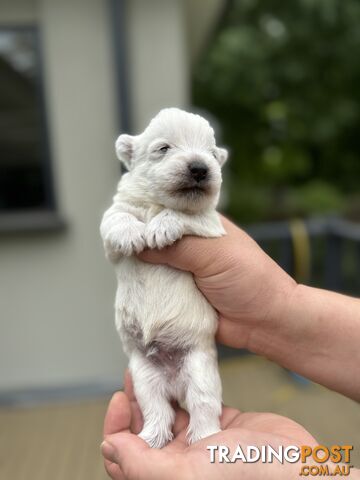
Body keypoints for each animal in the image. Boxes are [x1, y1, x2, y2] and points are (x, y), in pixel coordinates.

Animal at [99, 107, 228, 448]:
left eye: (212, 153)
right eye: (163, 148)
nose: (200, 168)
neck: (155, 204)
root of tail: (174, 383)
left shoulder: (212, 226)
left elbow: (187, 215)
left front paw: (160, 227)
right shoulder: (114, 220)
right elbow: (116, 218)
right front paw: (133, 234)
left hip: (200, 369)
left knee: (202, 405)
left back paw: (204, 438)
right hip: (144, 375)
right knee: (157, 408)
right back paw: (151, 436)